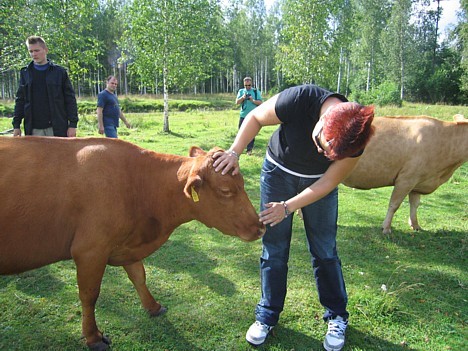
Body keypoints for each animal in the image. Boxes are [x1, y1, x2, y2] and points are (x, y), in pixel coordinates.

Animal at [0, 137, 264, 351]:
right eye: (226, 191)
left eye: (242, 184)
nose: (260, 226)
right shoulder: (90, 251)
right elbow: (89, 294)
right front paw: (93, 337)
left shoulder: (125, 246)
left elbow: (139, 276)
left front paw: (153, 306)